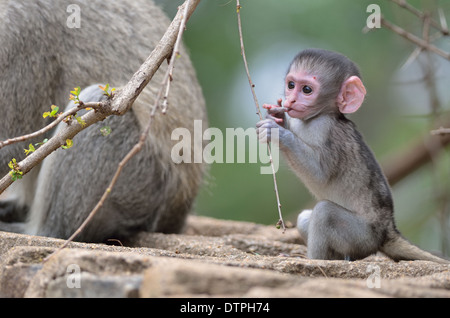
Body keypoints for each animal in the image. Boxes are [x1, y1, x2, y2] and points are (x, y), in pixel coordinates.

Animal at [258, 47, 448, 264]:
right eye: (291, 85)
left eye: (306, 89)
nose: (291, 100)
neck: (320, 115)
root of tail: (387, 230)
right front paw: (278, 117)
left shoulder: (325, 129)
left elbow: (319, 175)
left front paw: (278, 132)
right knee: (306, 218)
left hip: (361, 238)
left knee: (324, 213)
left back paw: (315, 260)